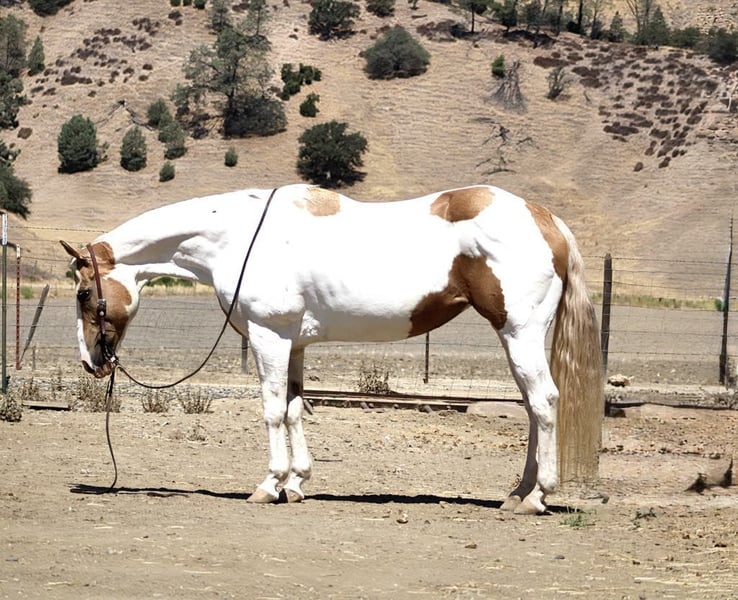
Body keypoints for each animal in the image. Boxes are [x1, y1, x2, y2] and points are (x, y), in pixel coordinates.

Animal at [60, 183, 602, 515]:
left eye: (84, 293)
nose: (91, 361)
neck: (238, 237)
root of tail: (545, 218)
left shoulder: (269, 337)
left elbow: (272, 410)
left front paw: (269, 484)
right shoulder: (294, 343)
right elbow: (295, 408)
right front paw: (296, 484)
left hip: (520, 332)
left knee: (545, 403)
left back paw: (537, 497)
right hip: (516, 339)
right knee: (532, 409)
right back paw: (517, 493)